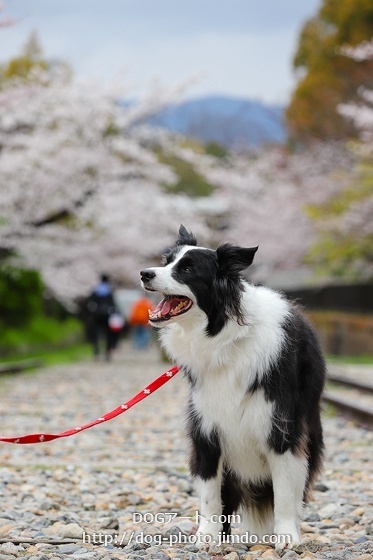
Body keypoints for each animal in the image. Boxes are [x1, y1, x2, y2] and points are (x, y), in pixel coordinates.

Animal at [141, 225, 324, 548]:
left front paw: (286, 536)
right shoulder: (206, 426)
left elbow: (285, 490)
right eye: (166, 261)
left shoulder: (280, 426)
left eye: (187, 269)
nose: (144, 273)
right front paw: (207, 536)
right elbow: (210, 494)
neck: (226, 339)